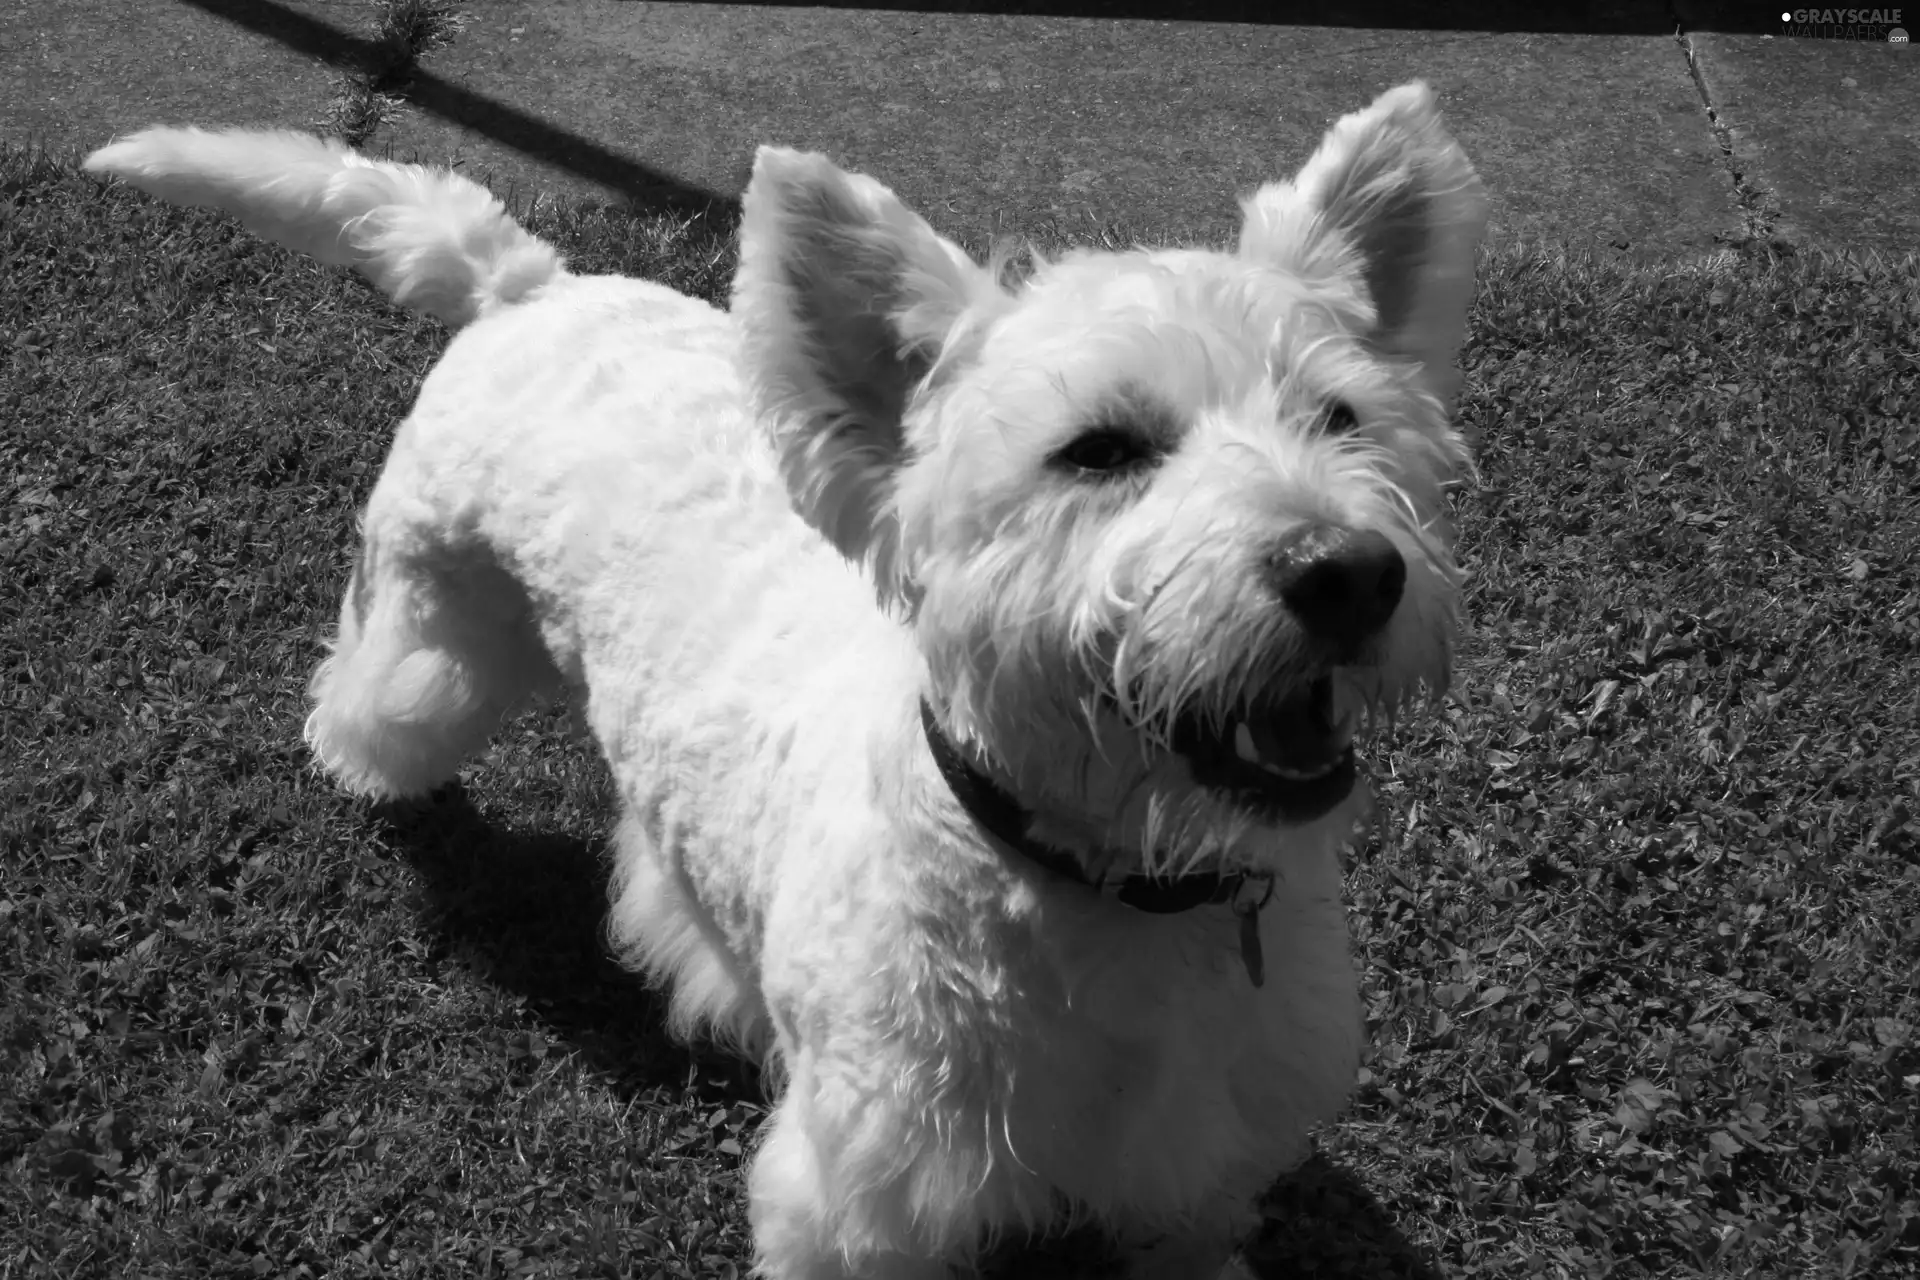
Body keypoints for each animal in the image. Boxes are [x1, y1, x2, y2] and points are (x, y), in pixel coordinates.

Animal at [90, 82, 1482, 1280]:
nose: (1349, 573)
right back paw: (361, 769)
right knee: (368, 689)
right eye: (1099, 449)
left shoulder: (1200, 1164)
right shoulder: (868, 1196)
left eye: (1341, 418)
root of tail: (532, 286)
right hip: (440, 638)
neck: (1120, 890)